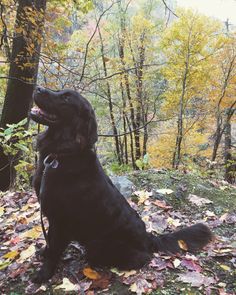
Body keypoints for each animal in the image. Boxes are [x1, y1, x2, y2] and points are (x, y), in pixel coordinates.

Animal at [30, 87, 212, 284]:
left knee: (139, 258)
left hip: (97, 245)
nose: (38, 88)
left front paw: (43, 274)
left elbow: (54, 249)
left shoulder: (61, 220)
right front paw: (43, 253)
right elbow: (49, 242)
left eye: (66, 98)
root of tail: (148, 239)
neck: (61, 154)